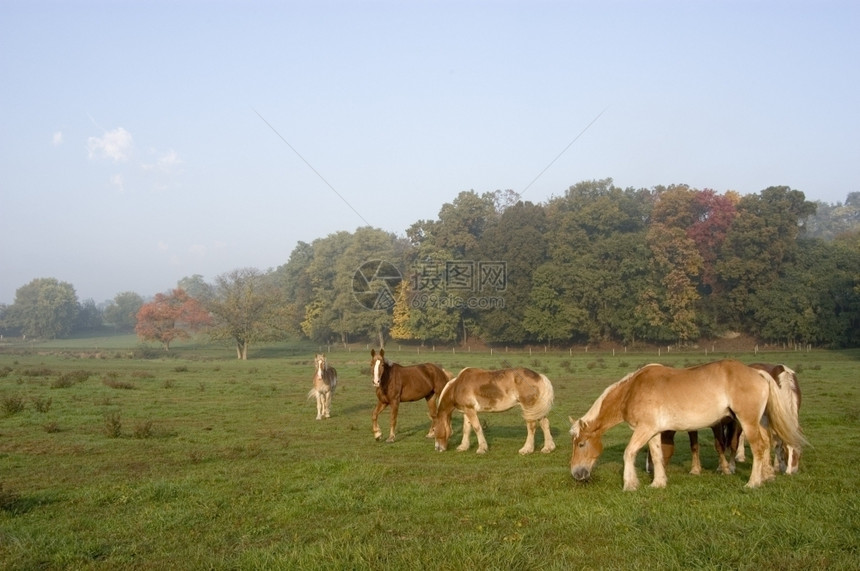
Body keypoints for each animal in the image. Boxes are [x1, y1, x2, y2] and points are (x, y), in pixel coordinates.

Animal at [572, 362, 808, 492]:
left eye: (582, 444)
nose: (576, 474)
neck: (632, 390)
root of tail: (758, 373)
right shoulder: (653, 432)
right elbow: (656, 455)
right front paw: (658, 483)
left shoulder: (643, 429)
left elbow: (628, 453)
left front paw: (630, 484)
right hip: (759, 422)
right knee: (767, 444)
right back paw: (767, 477)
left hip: (747, 422)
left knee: (759, 448)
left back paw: (752, 483)